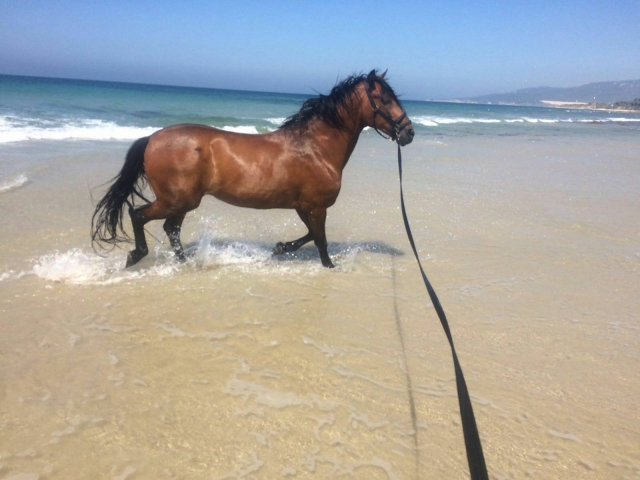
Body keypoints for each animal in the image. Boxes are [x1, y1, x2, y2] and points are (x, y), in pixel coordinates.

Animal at [91, 69, 414, 268]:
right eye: (385, 99)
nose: (409, 133)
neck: (315, 147)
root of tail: (152, 138)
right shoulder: (316, 207)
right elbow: (320, 240)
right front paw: (328, 266)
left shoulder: (303, 206)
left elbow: (310, 235)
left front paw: (280, 247)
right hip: (176, 200)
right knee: (139, 215)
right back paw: (137, 255)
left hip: (180, 202)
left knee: (170, 228)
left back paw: (184, 263)